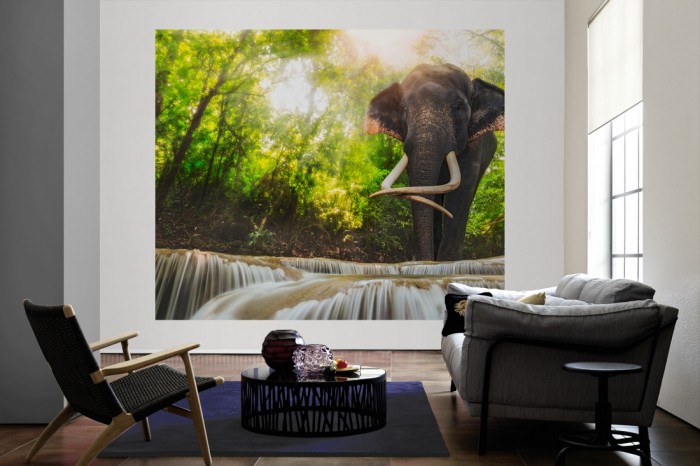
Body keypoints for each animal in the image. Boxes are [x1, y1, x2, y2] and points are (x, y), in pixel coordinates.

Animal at [364, 63, 504, 261]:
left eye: (458, 105)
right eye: (404, 109)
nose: (422, 260)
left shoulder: (473, 146)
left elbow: (462, 190)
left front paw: (448, 261)